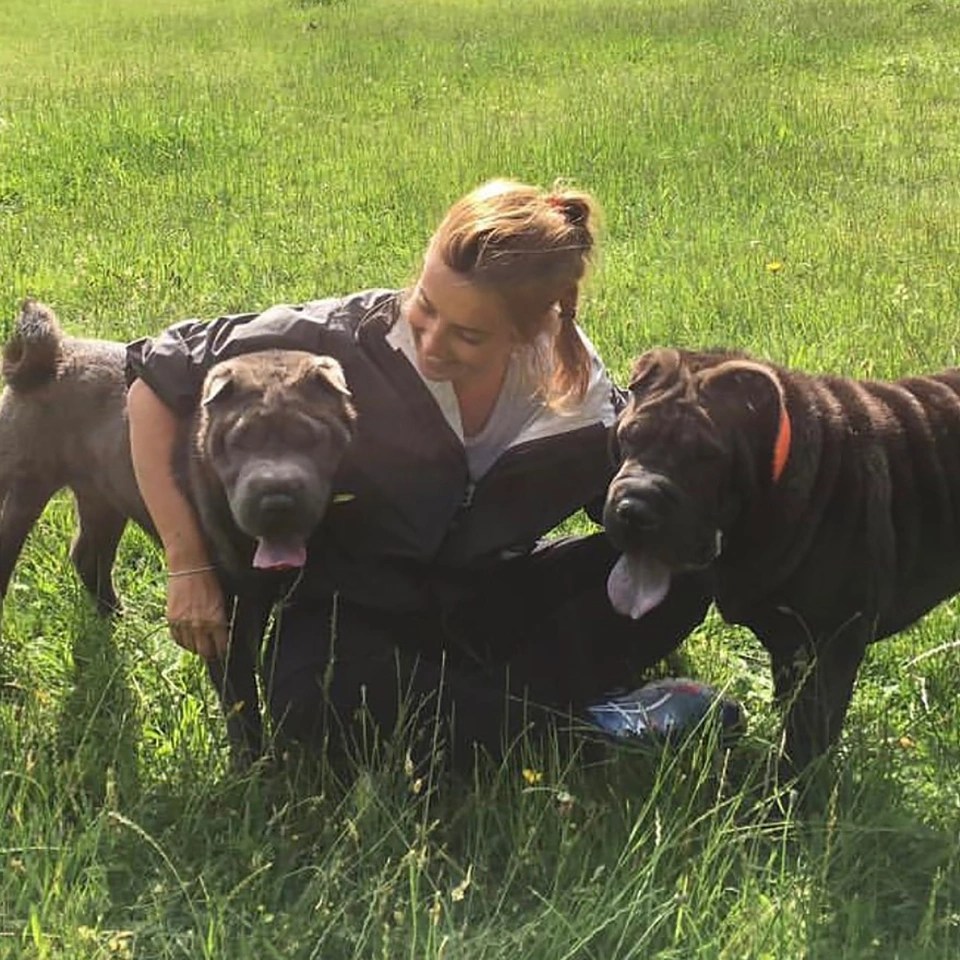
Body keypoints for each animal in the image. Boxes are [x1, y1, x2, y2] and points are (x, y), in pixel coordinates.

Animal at [604, 348, 960, 776]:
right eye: (628, 436)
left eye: (707, 455)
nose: (634, 509)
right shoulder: (789, 640)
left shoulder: (832, 641)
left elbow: (808, 731)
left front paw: (789, 787)